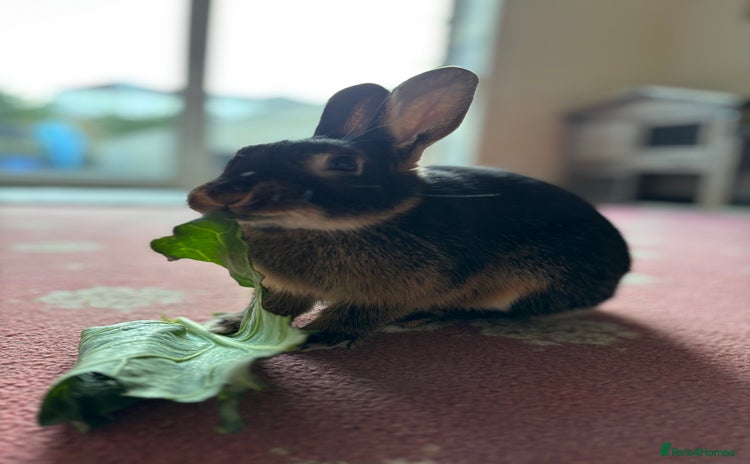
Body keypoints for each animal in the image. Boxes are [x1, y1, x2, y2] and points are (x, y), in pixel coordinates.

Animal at [188, 66, 631, 347]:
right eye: (244, 152)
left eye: (343, 165)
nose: (204, 197)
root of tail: (621, 267)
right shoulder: (282, 289)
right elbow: (270, 309)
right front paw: (230, 325)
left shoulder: (390, 295)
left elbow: (357, 316)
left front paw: (318, 336)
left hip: (524, 283)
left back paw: (428, 317)